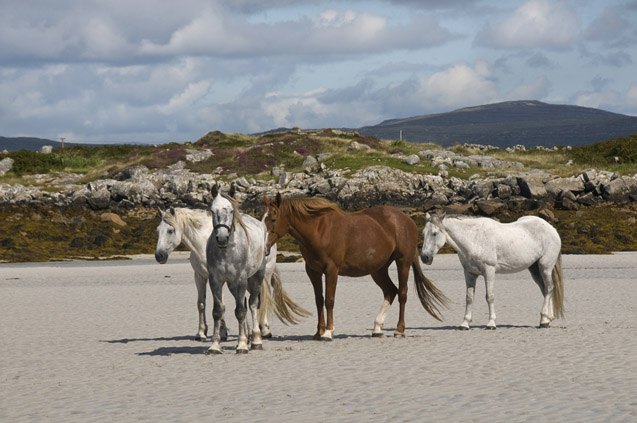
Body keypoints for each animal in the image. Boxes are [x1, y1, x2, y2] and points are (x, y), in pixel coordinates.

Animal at [154, 207, 308, 346]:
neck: (203, 243)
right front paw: (201, 333)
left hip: (264, 275)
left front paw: (222, 333)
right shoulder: (200, 276)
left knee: (264, 298)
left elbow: (223, 305)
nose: (159, 256)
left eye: (170, 230)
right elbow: (201, 303)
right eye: (157, 230)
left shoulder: (219, 279)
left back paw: (264, 330)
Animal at [260, 194, 444, 340]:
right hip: (378, 269)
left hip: (402, 262)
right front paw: (319, 332)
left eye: (274, 219)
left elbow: (329, 300)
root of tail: (407, 220)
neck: (319, 230)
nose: (264, 248)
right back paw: (377, 328)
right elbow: (319, 300)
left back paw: (399, 330)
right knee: (390, 291)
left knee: (402, 294)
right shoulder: (313, 272)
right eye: (262, 219)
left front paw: (328, 332)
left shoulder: (331, 270)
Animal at [420, 214, 564, 330]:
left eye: (434, 233)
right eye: (423, 233)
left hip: (545, 267)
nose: (424, 257)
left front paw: (491, 323)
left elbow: (489, 296)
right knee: (545, 289)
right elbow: (469, 298)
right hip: (534, 270)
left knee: (549, 288)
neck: (474, 239)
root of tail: (551, 228)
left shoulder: (489, 271)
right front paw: (465, 324)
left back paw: (544, 320)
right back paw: (547, 319)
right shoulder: (469, 274)